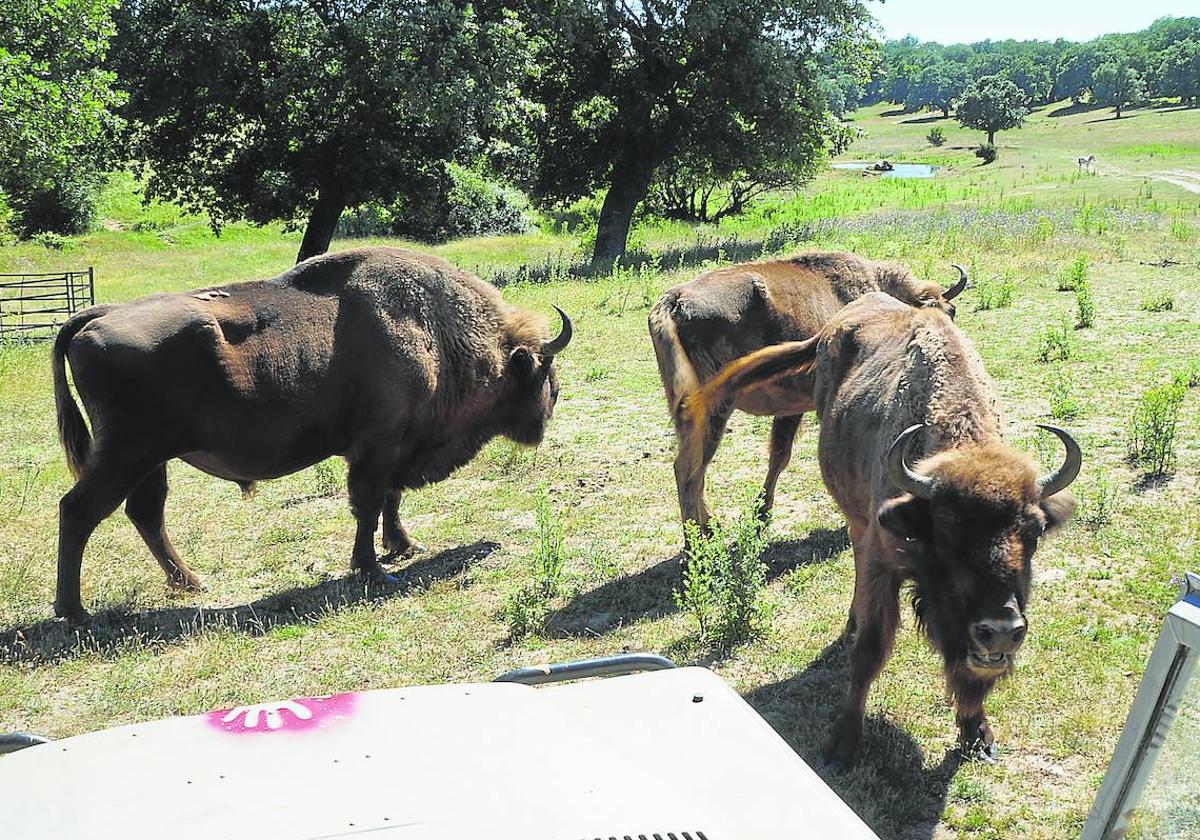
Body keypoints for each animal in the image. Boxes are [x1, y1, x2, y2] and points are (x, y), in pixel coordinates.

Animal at [55, 246, 576, 619]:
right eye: (544, 373)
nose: (553, 402)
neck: (434, 330)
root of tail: (97, 315)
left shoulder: (396, 446)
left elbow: (390, 499)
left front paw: (404, 546)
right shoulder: (376, 447)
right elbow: (368, 504)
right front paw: (373, 570)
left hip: (151, 460)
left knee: (145, 514)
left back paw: (191, 583)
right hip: (127, 454)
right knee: (79, 510)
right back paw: (76, 612)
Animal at [648, 253, 964, 535]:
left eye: (950, 312)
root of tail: (674, 300)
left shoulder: (789, 411)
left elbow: (779, 455)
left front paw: (762, 514)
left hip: (685, 410)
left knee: (693, 466)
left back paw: (710, 527)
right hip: (715, 409)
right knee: (690, 468)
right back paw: (696, 543)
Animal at [691, 294, 1084, 768]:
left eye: (1035, 531)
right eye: (946, 529)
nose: (1002, 628)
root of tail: (835, 325)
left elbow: (969, 677)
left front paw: (978, 735)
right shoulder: (884, 563)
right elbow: (870, 649)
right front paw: (842, 745)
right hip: (856, 516)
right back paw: (850, 624)